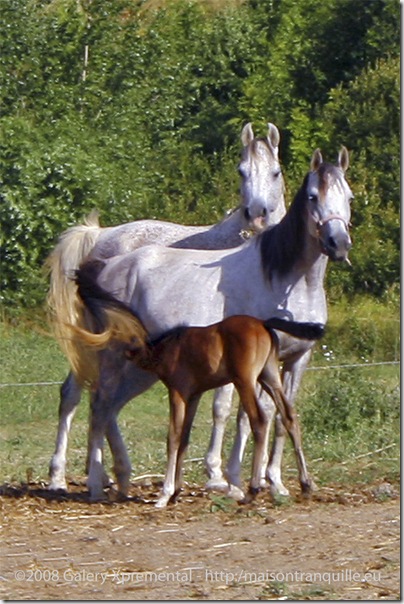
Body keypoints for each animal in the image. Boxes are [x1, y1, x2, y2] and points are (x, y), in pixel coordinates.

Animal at [58, 147, 352, 500]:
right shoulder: (252, 368)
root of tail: (103, 264)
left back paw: (120, 478)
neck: (286, 280)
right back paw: (91, 482)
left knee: (106, 405)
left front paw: (279, 482)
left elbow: (282, 417)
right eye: (312, 196)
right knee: (97, 402)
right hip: (110, 354)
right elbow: (248, 416)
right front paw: (237, 481)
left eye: (349, 196)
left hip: (135, 365)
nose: (338, 243)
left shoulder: (297, 359)